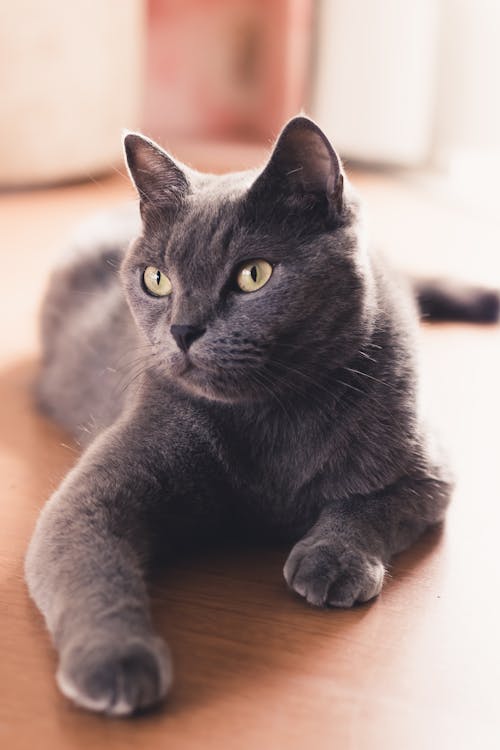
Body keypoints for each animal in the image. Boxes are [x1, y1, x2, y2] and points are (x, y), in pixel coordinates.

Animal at [22, 116, 496, 716]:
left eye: (254, 275)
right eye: (157, 280)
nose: (182, 329)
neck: (274, 418)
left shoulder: (426, 467)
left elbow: (372, 506)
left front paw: (332, 560)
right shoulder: (93, 494)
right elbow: (87, 560)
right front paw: (116, 659)